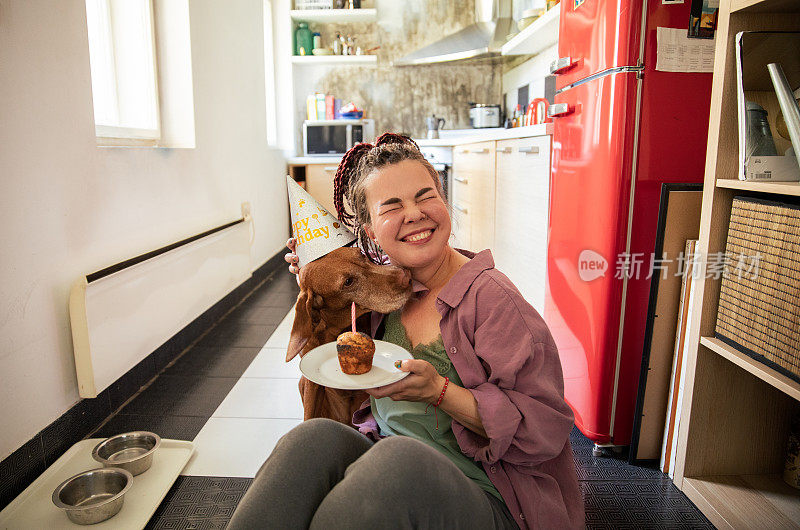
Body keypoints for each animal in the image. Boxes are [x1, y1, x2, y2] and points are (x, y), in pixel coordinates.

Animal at [288, 245, 412, 422]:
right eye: (348, 282)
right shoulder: (311, 382)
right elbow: (309, 416)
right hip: (302, 383)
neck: (332, 329)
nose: (407, 276)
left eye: (362, 254)